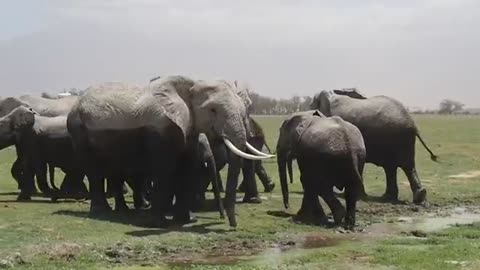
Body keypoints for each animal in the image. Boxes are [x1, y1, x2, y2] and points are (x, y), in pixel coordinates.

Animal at [66, 76, 274, 228]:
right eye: (213, 110)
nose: (231, 225)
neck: (191, 85)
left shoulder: (189, 128)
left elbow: (187, 167)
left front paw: (187, 220)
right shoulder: (160, 128)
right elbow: (165, 170)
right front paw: (159, 224)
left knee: (114, 170)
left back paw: (121, 212)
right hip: (79, 130)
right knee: (94, 171)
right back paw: (101, 212)